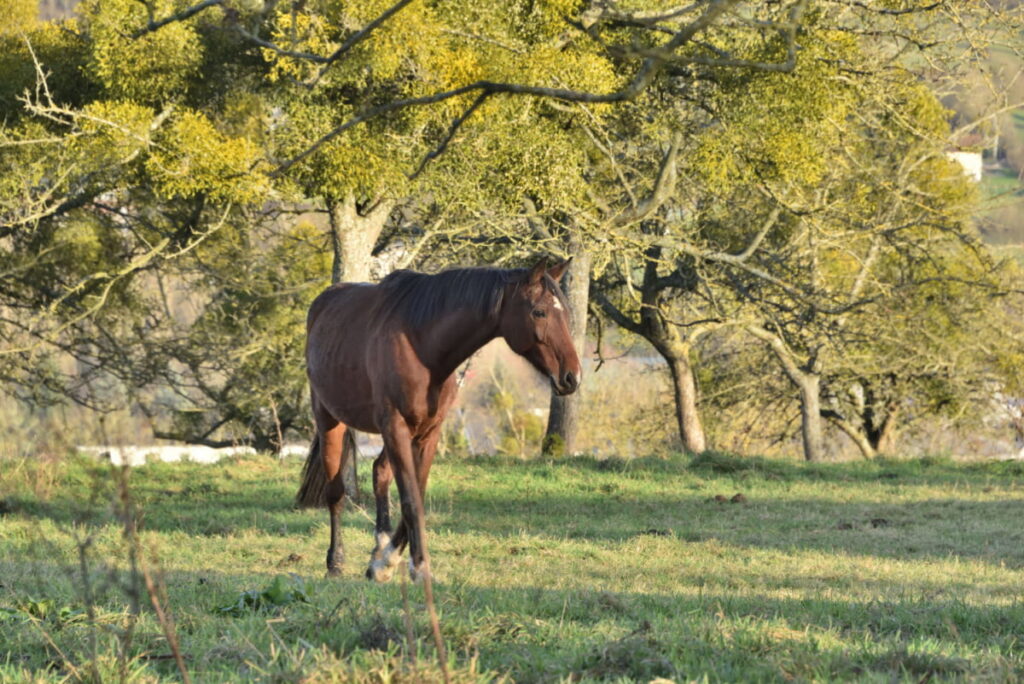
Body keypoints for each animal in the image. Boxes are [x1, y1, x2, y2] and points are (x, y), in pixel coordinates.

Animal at [299, 259, 581, 581]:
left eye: (566, 313)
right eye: (539, 312)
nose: (572, 377)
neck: (421, 346)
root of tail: (323, 301)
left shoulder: (427, 432)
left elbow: (416, 496)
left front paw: (388, 562)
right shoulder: (396, 427)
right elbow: (410, 500)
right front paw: (417, 567)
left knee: (379, 472)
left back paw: (379, 547)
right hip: (330, 420)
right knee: (336, 493)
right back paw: (335, 562)